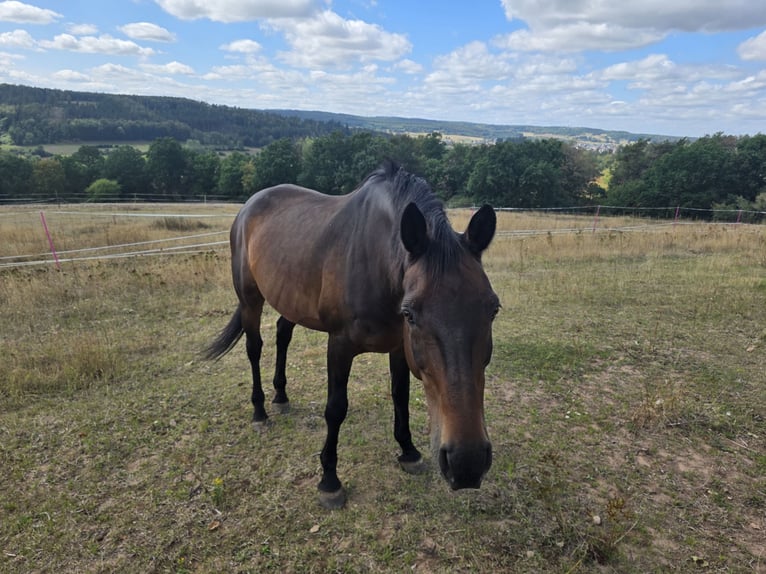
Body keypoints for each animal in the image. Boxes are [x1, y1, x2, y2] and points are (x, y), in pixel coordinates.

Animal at [205, 161, 499, 509]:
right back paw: (260, 411)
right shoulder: (340, 345)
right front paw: (329, 481)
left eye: (493, 309)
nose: (467, 463)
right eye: (411, 315)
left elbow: (400, 395)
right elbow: (335, 409)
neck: (376, 263)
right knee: (254, 348)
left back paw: (281, 397)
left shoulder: (399, 347)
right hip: (251, 299)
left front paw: (409, 451)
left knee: (282, 335)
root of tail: (249, 205)